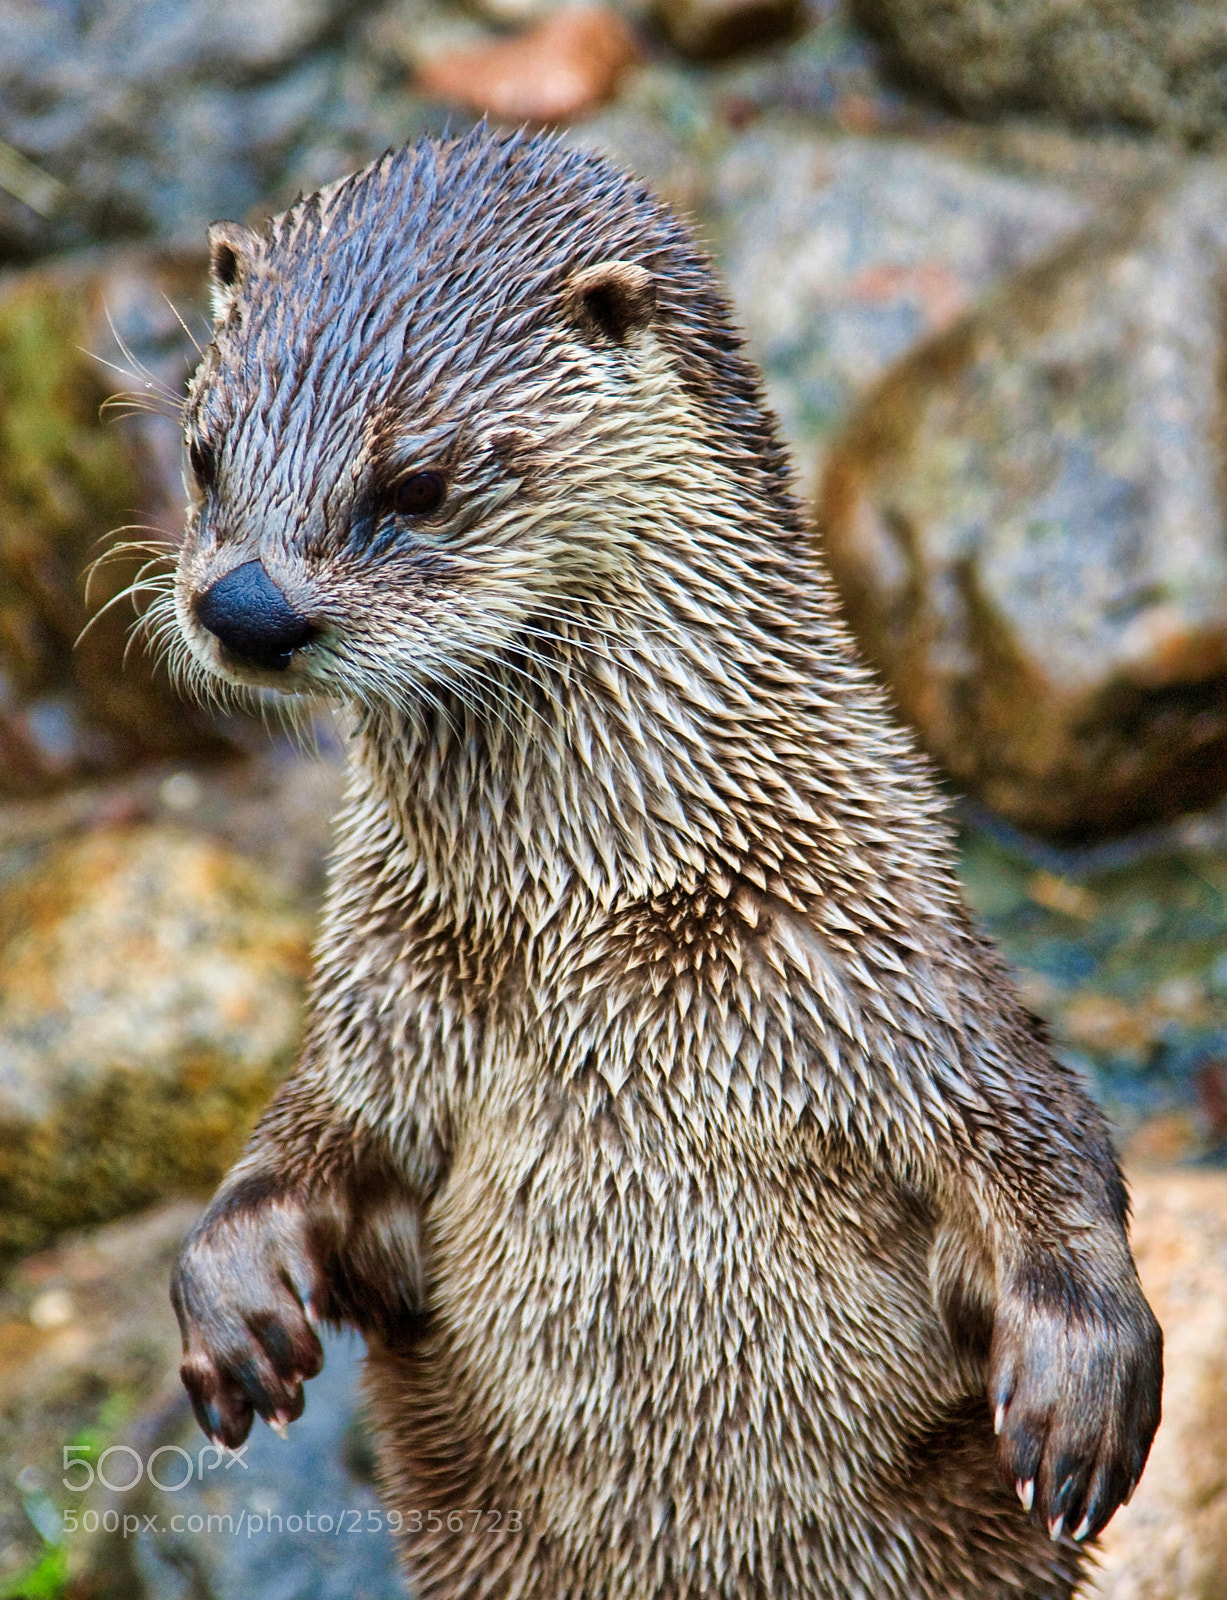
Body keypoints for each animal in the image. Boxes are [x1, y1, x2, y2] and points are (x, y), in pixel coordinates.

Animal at [167, 127, 1161, 1599]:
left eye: (416, 482)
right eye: (201, 456)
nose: (243, 604)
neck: (601, 915)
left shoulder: (900, 988)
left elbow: (1039, 1144)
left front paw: (1080, 1381)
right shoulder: (385, 1009)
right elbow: (311, 1145)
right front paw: (234, 1289)